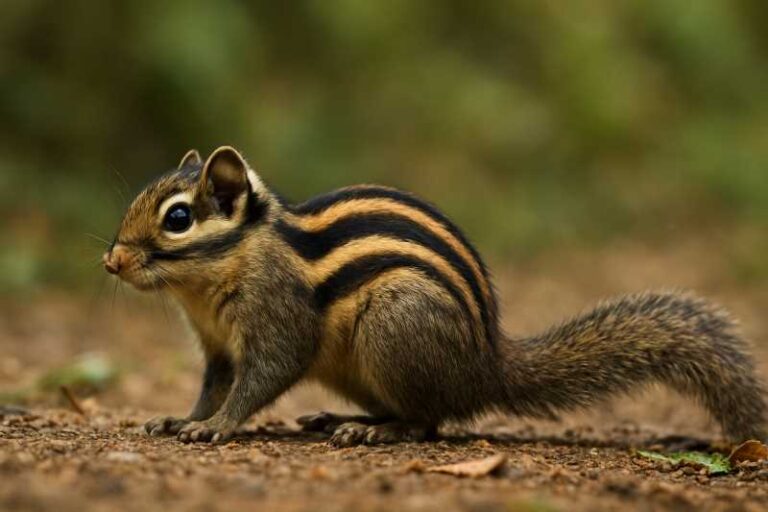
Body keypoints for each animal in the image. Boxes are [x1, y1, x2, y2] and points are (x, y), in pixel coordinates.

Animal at [103, 146, 767, 446]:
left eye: (179, 218)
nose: (110, 261)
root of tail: (487, 366)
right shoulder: (217, 347)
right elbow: (213, 384)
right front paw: (184, 418)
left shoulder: (278, 316)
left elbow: (262, 377)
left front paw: (218, 427)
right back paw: (344, 418)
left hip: (395, 324)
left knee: (429, 421)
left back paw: (376, 432)